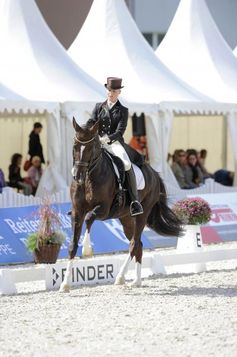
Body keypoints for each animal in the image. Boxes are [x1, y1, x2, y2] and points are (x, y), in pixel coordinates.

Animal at [60, 118, 182, 290]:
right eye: (75, 146)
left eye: (91, 147)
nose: (78, 176)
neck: (89, 177)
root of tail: (154, 174)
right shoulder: (77, 211)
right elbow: (72, 245)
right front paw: (64, 284)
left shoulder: (103, 209)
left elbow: (90, 218)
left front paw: (87, 249)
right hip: (126, 218)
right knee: (138, 245)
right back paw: (136, 281)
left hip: (142, 214)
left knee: (134, 243)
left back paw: (121, 277)